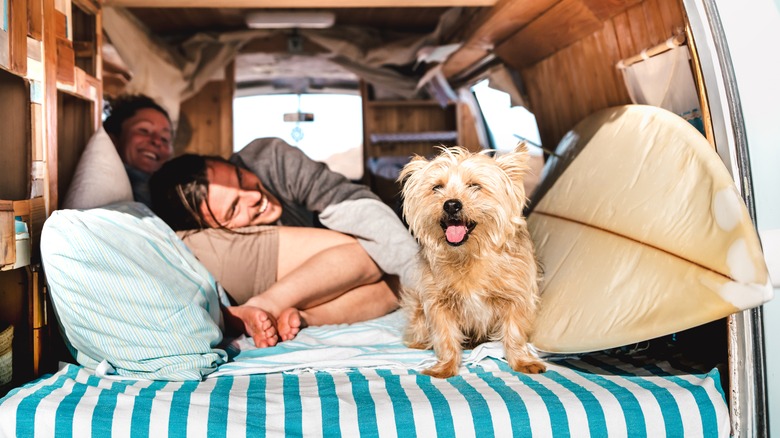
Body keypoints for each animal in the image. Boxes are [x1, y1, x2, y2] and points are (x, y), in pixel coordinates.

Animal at [400, 145, 544, 380]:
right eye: (437, 187)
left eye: (475, 185)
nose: (451, 204)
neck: (468, 255)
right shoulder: (438, 303)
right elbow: (445, 337)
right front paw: (445, 366)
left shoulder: (516, 298)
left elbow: (514, 333)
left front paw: (522, 361)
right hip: (417, 308)